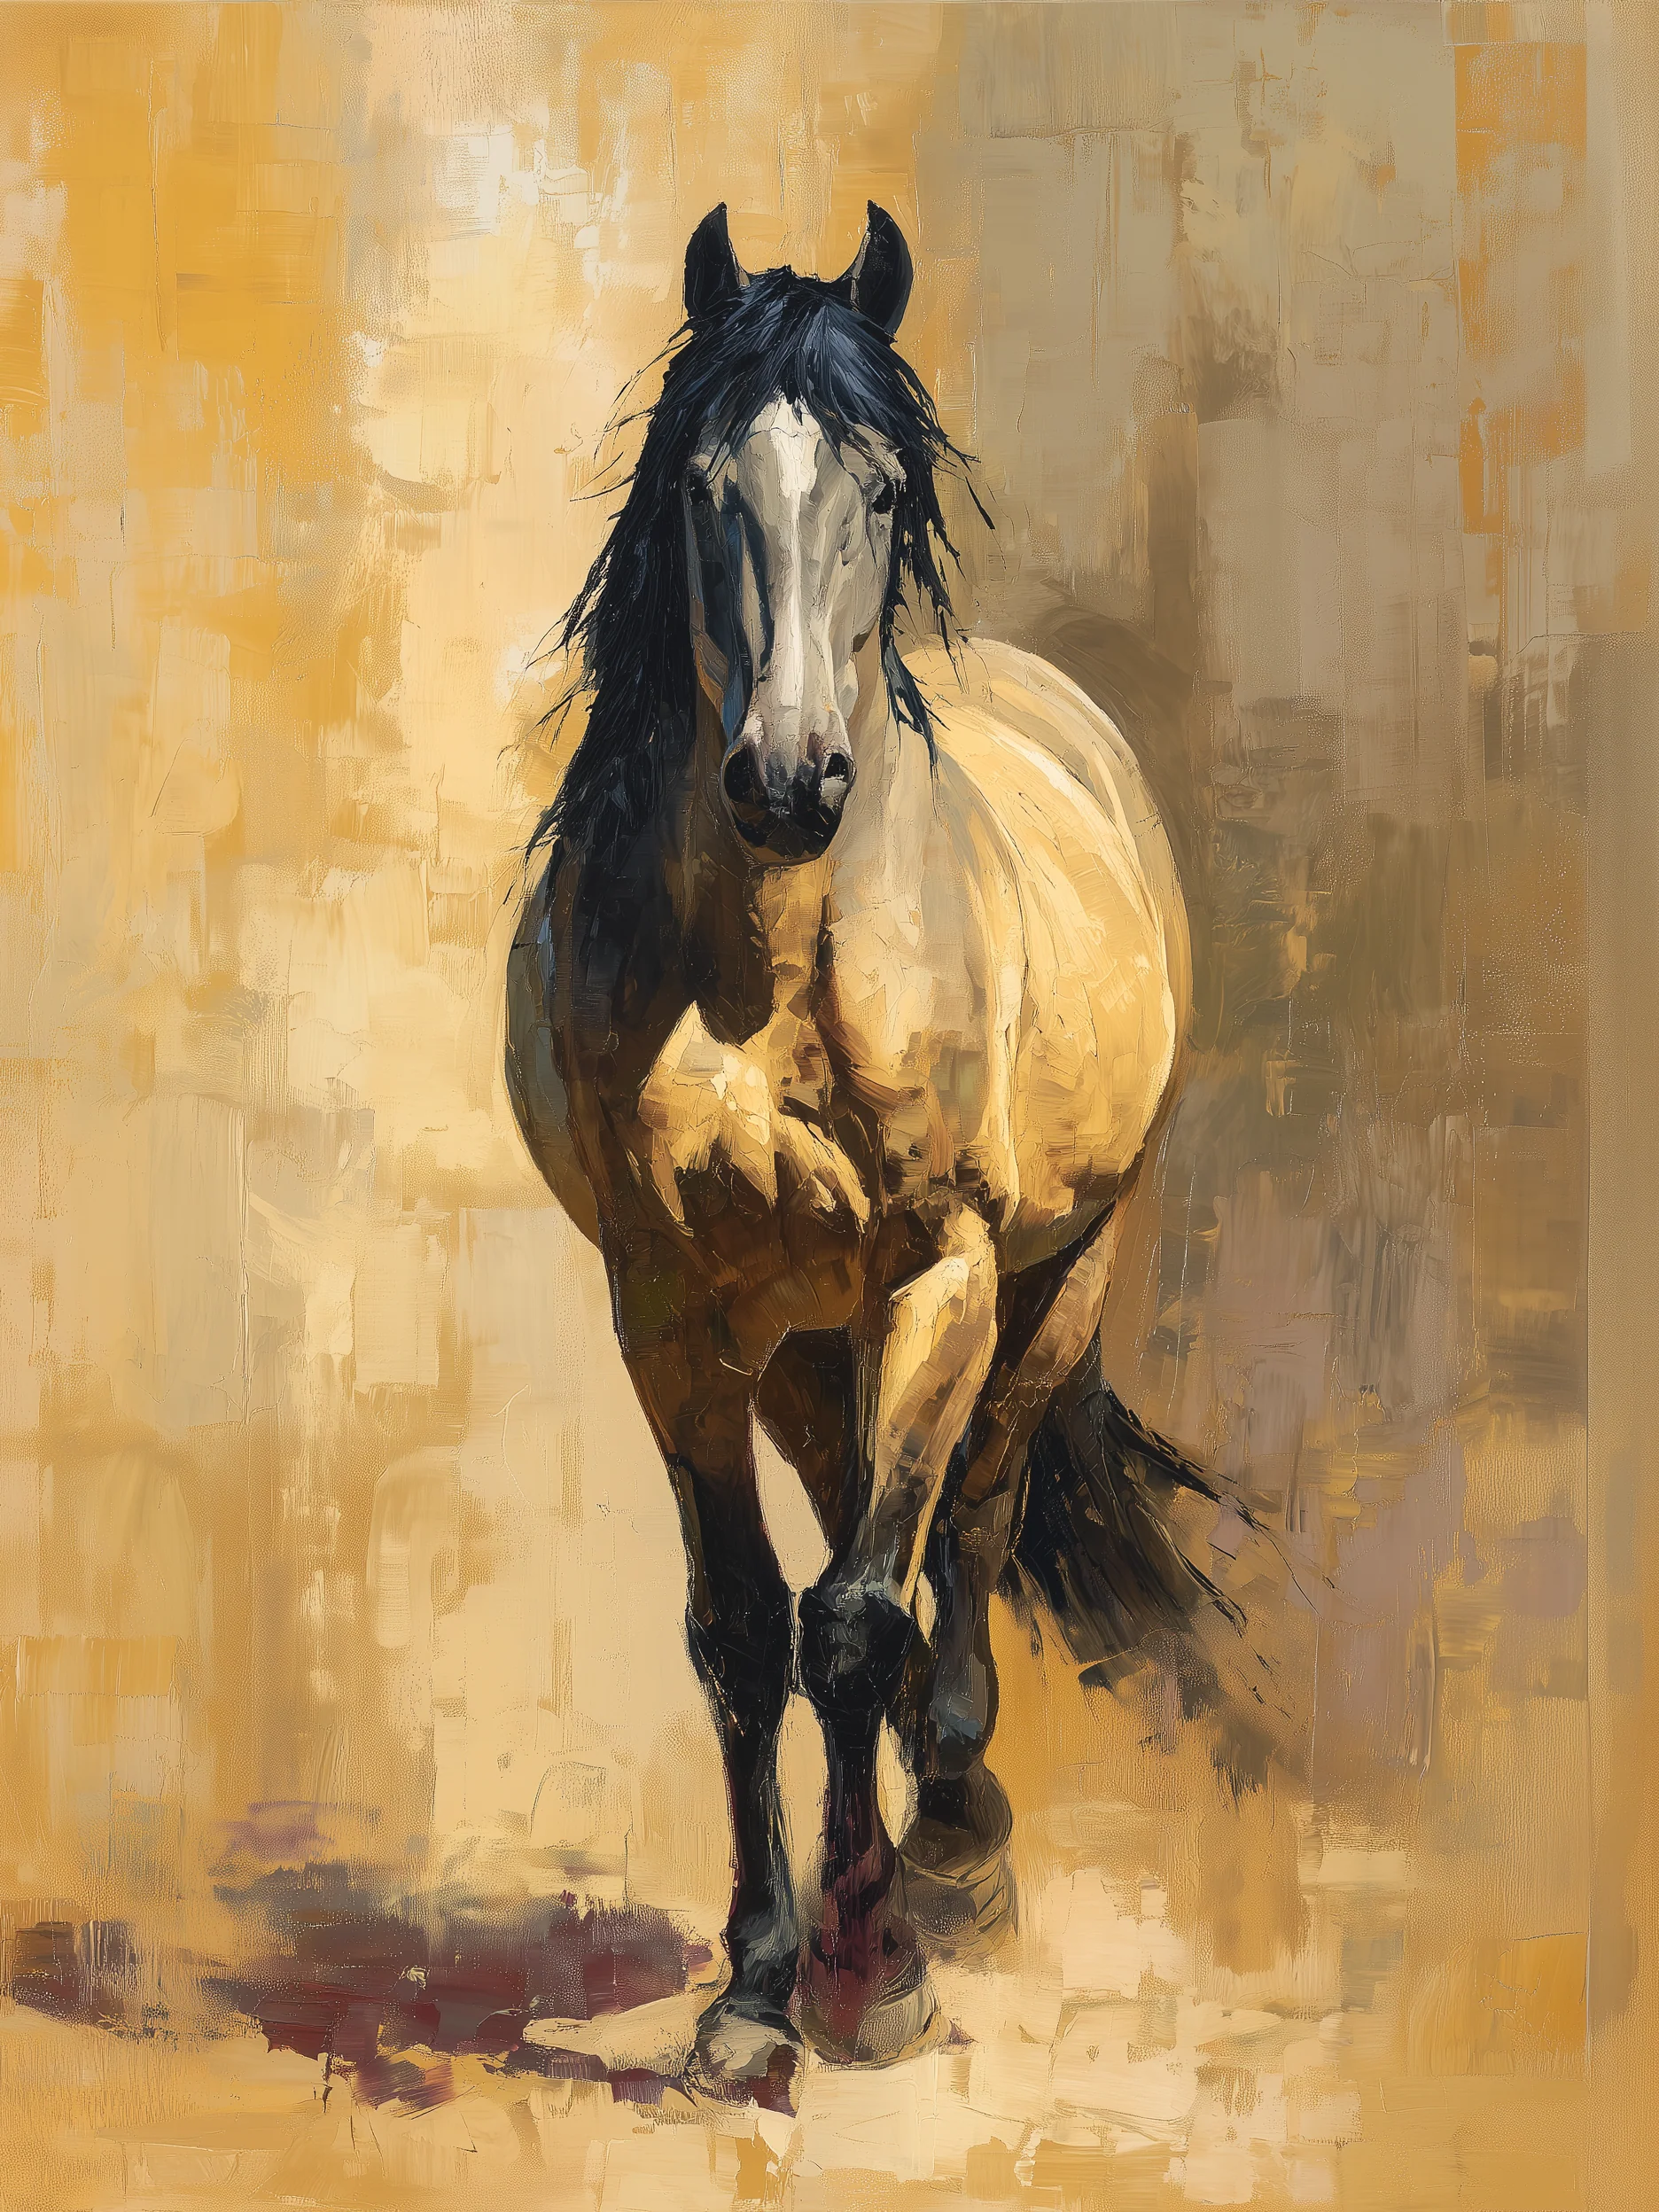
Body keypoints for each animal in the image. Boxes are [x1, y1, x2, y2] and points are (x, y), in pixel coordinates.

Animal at [506, 203, 1286, 2105]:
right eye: (705, 479)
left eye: (876, 485)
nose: (790, 776)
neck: (766, 962)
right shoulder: (669, 1314)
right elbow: (747, 1627)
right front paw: (755, 1986)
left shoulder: (938, 1268)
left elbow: (866, 1611)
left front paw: (875, 1977)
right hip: (805, 1344)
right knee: (847, 1544)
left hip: (1043, 1286)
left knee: (971, 1528)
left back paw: (954, 1840)